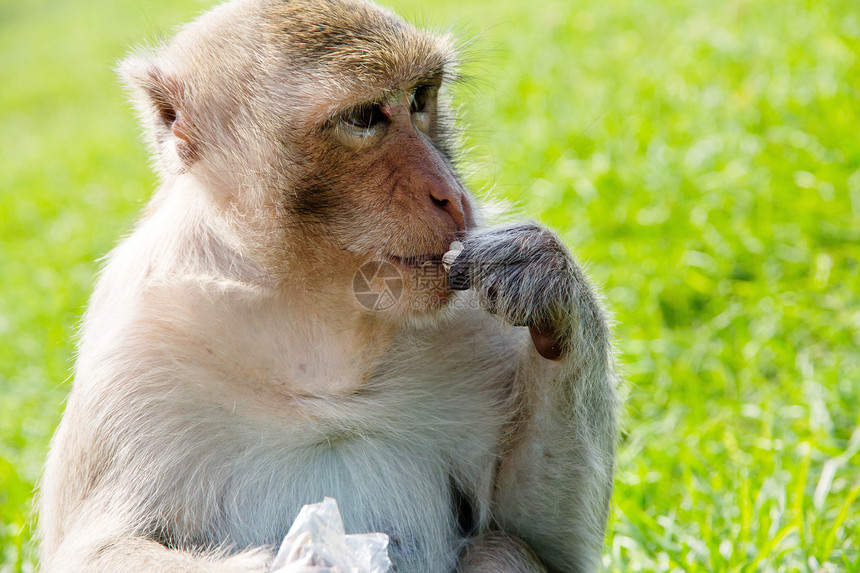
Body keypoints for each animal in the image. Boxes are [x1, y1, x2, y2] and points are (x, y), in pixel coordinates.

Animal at [38, 1, 620, 572]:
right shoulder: (138, 353)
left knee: (501, 550)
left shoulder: (470, 315)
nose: (452, 196)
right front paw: (312, 558)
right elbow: (96, 550)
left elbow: (543, 539)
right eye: (363, 118)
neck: (318, 330)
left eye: (419, 98)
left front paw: (548, 279)